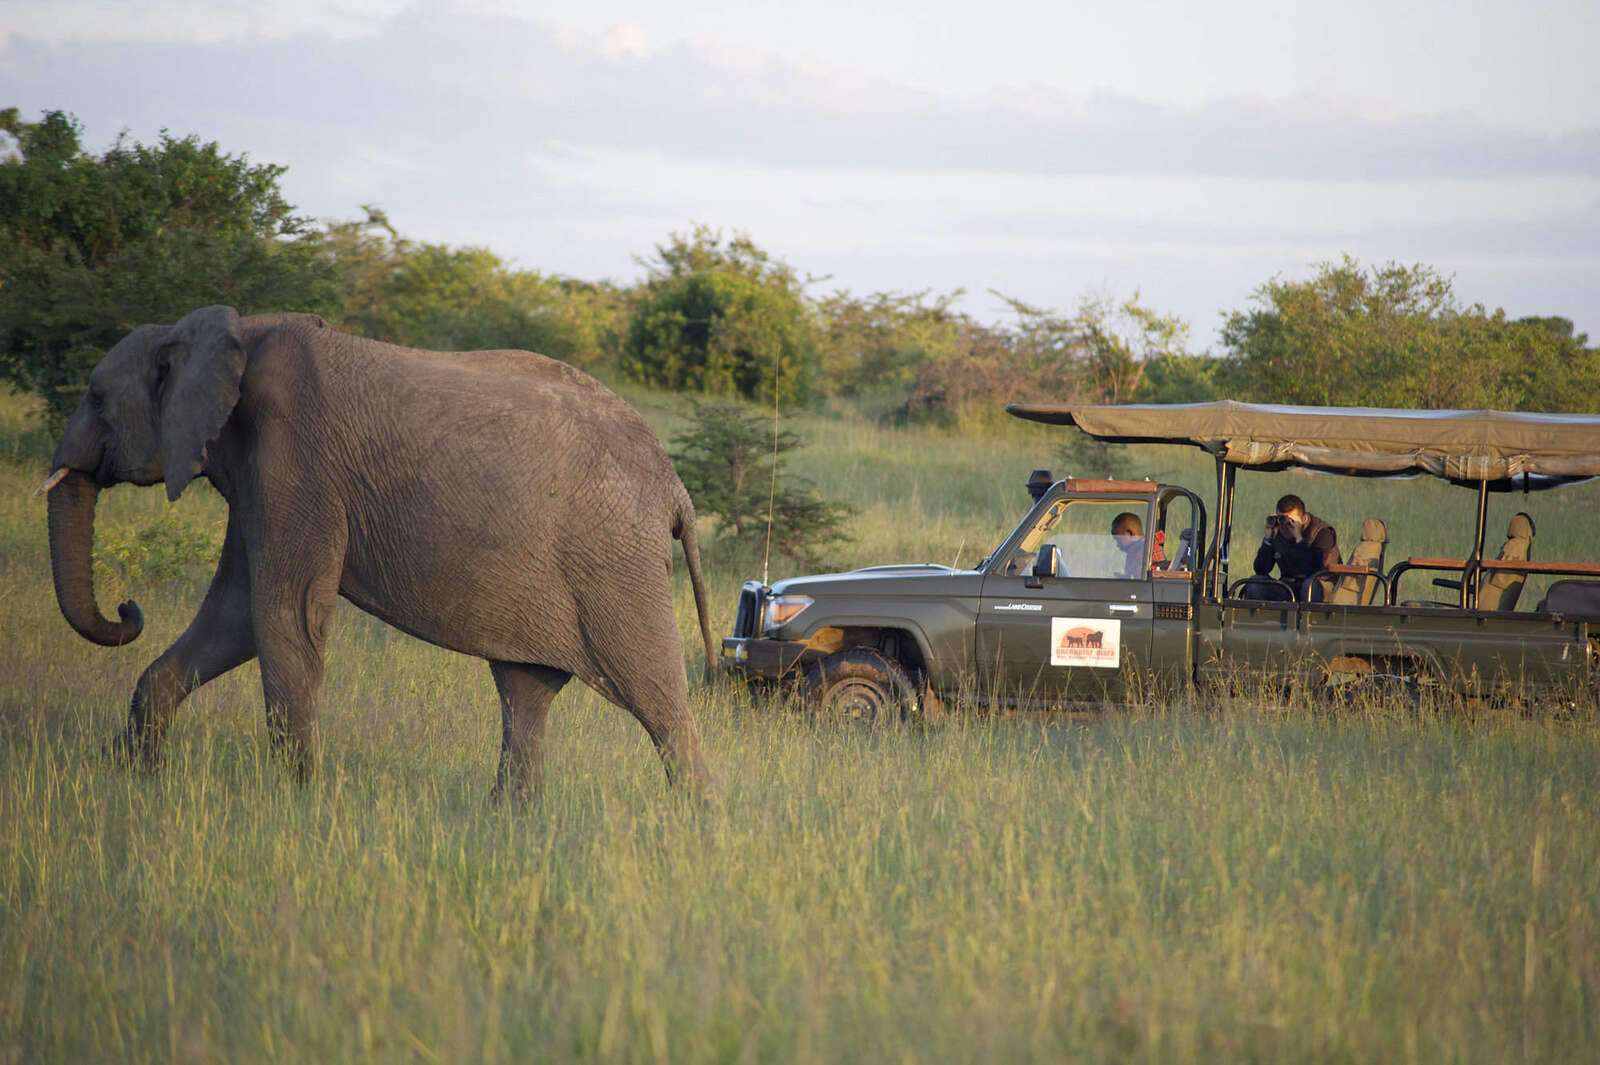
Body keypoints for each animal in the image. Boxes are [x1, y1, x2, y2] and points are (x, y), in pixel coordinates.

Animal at [40, 302, 716, 793]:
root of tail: (675, 488)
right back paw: (510, 826)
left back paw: (698, 837)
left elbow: (284, 615)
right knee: (525, 692)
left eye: (96, 397)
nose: (127, 610)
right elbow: (234, 617)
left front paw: (295, 803)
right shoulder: (258, 476)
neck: (231, 331)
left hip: (614, 566)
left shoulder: (294, 460)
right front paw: (129, 777)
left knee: (661, 707)